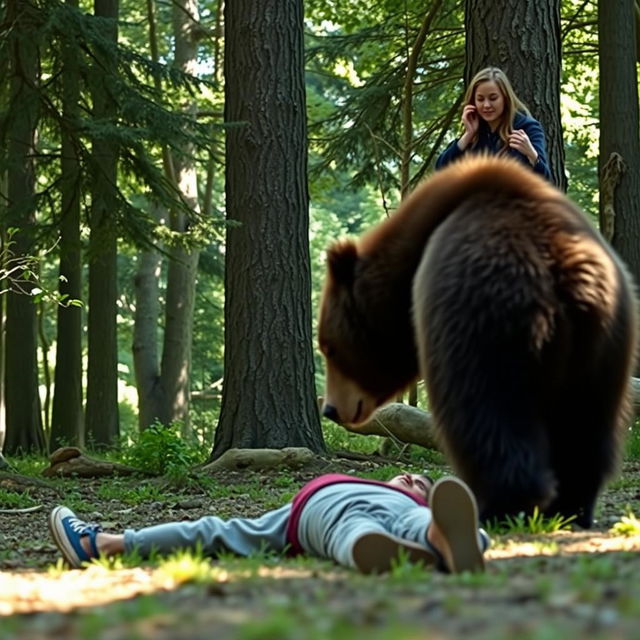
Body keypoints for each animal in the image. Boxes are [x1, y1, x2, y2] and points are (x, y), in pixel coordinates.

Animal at [318, 156, 636, 528]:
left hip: (487, 321)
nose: (330, 409)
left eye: (329, 347)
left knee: (485, 411)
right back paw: (571, 505)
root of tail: (563, 276)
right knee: (587, 424)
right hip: (605, 342)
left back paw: (498, 504)